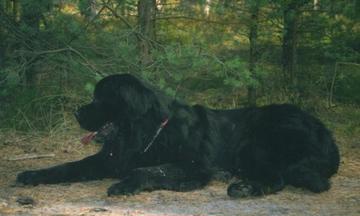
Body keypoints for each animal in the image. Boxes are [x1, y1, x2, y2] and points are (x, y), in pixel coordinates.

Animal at [16, 74, 338, 197]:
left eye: (99, 98)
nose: (76, 113)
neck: (146, 134)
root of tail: (327, 134)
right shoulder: (109, 159)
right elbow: (67, 166)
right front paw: (31, 174)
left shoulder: (192, 164)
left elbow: (148, 170)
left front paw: (126, 184)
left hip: (257, 140)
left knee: (278, 179)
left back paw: (243, 188)